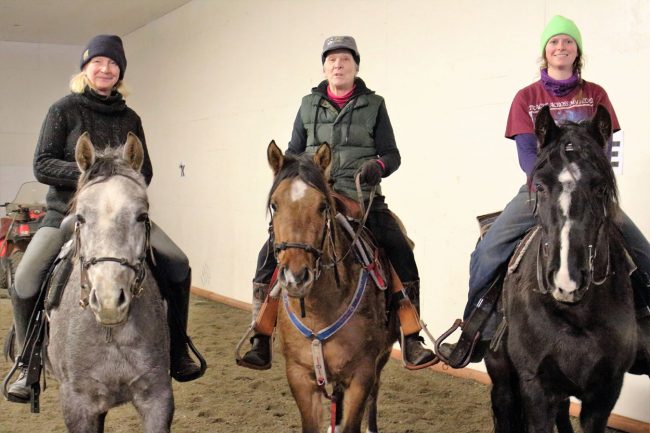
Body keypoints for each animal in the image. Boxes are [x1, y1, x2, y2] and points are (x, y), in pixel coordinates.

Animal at [46, 132, 173, 433]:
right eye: (80, 218)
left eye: (142, 216)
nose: (108, 303)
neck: (112, 332)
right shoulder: (77, 405)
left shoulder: (158, 397)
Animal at [266, 141, 399, 433]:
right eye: (274, 205)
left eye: (322, 206)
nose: (296, 277)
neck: (320, 309)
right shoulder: (299, 375)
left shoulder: (362, 373)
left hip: (381, 356)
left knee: (376, 390)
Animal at [484, 105, 638, 433]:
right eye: (540, 186)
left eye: (600, 187)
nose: (566, 282)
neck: (576, 316)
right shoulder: (536, 387)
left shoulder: (606, 390)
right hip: (501, 376)